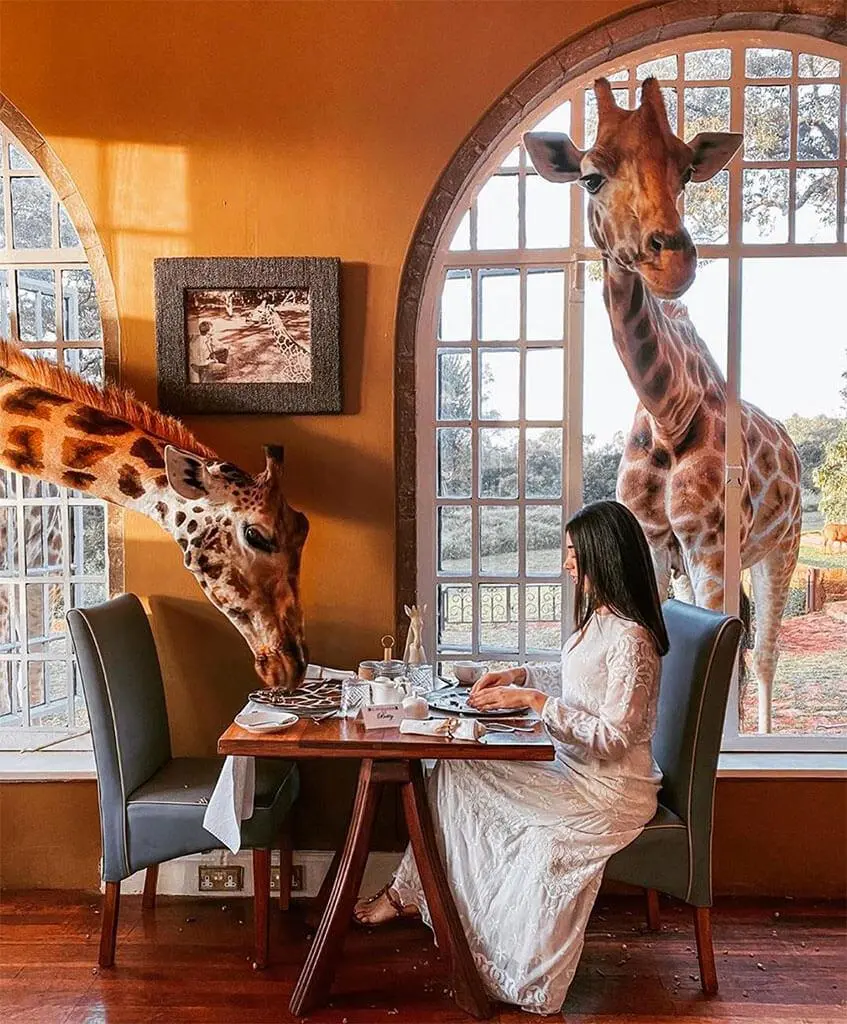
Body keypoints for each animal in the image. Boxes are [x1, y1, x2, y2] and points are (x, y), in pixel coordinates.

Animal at [525, 78, 802, 732]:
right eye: (590, 176)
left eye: (685, 172)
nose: (672, 259)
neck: (667, 413)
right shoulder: (651, 542)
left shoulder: (710, 544)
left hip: (783, 547)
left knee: (765, 652)